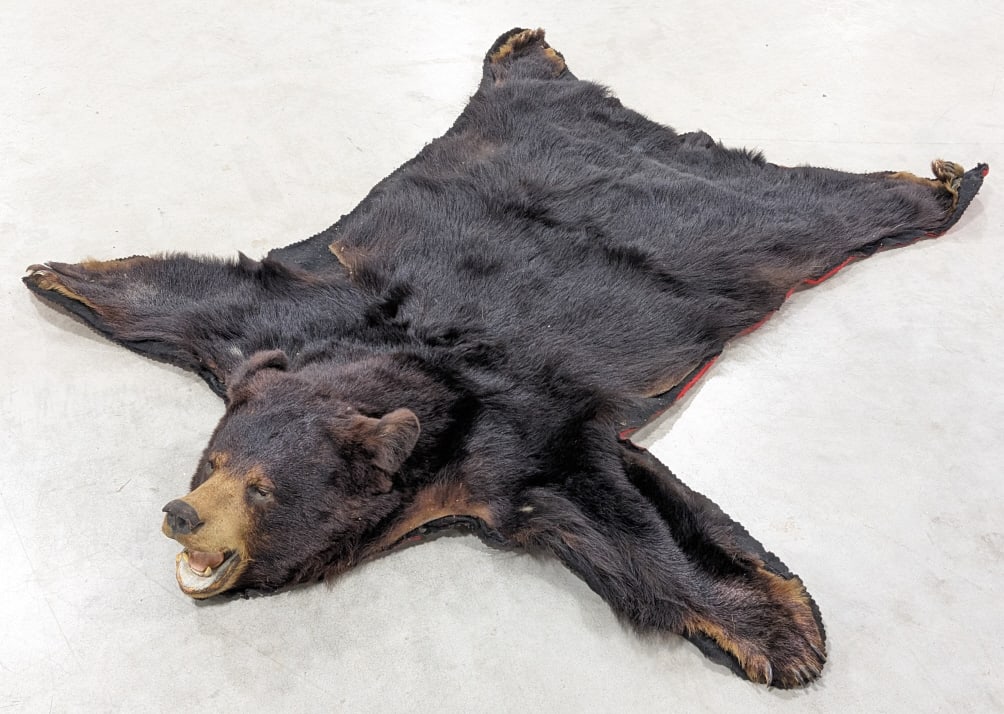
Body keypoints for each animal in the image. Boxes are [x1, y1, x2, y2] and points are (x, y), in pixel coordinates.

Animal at [22, 28, 986, 688]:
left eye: (260, 490)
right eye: (212, 461)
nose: (182, 513)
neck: (419, 373)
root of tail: (643, 129)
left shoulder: (518, 430)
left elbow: (621, 516)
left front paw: (782, 634)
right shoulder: (295, 326)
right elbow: (197, 297)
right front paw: (59, 273)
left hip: (752, 229)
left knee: (832, 212)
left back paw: (944, 183)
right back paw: (521, 48)